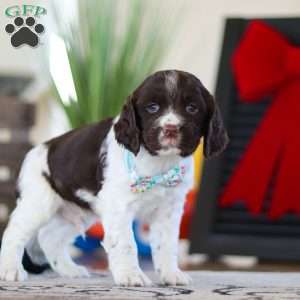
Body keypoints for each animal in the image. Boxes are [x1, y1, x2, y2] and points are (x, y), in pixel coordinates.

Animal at [0, 69, 227, 286]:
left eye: (192, 108)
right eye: (152, 107)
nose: (171, 129)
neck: (158, 164)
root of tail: (37, 150)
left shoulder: (169, 208)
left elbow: (167, 243)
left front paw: (172, 274)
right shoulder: (119, 206)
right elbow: (126, 243)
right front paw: (131, 276)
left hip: (76, 213)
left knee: (49, 237)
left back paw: (70, 270)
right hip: (39, 203)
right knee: (14, 232)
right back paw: (10, 270)